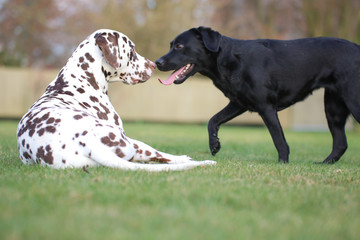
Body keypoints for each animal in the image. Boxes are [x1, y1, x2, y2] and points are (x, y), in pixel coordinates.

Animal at [16, 29, 215, 172]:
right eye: (132, 49)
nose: (153, 64)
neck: (78, 79)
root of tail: (87, 142)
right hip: (133, 143)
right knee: (158, 155)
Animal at [156, 27, 360, 164]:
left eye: (179, 46)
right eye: (171, 45)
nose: (158, 62)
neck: (229, 59)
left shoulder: (266, 106)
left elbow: (279, 140)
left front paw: (283, 164)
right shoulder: (239, 102)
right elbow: (213, 120)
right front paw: (214, 144)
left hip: (352, 101)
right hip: (333, 108)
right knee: (341, 143)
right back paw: (324, 164)